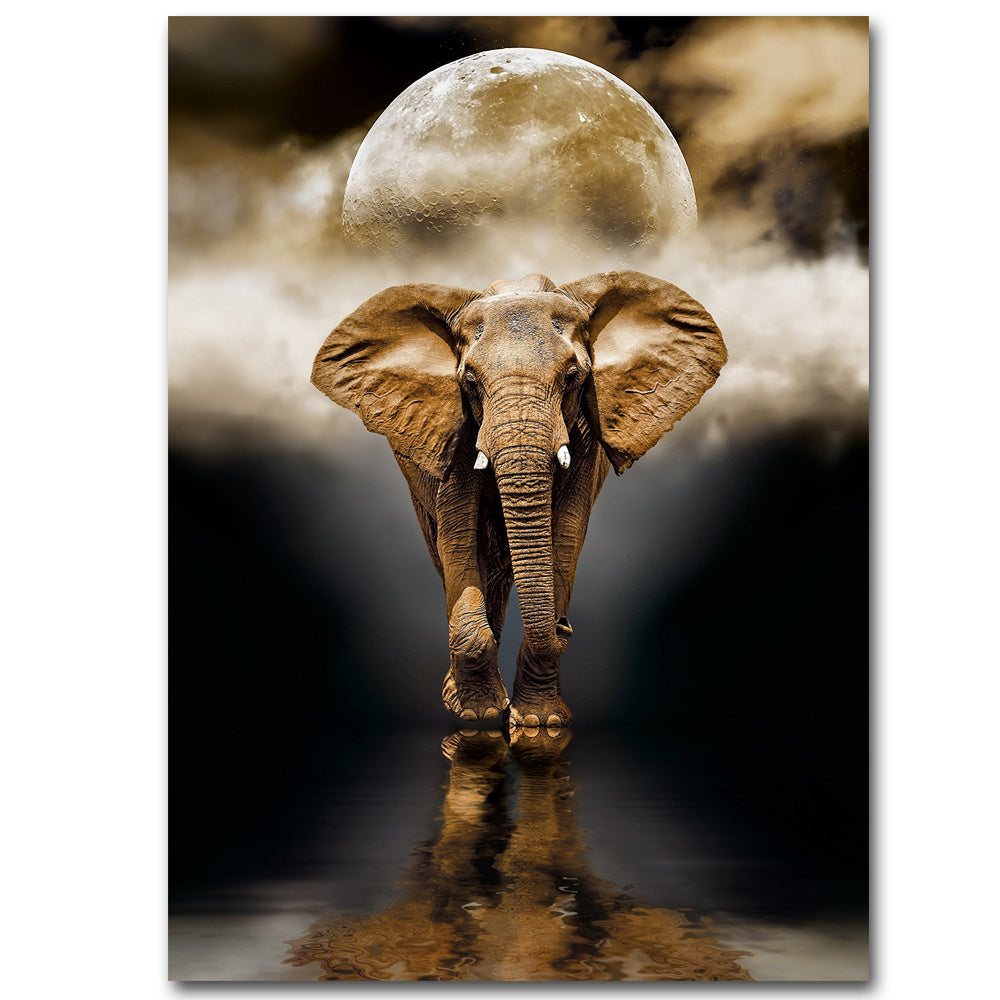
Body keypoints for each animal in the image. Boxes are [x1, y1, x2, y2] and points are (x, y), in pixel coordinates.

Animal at [311, 270, 726, 727]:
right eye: (470, 381)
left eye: (572, 378)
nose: (565, 625)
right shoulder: (457, 427)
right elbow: (457, 534)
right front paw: (478, 716)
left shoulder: (584, 432)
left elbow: (566, 534)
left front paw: (538, 724)